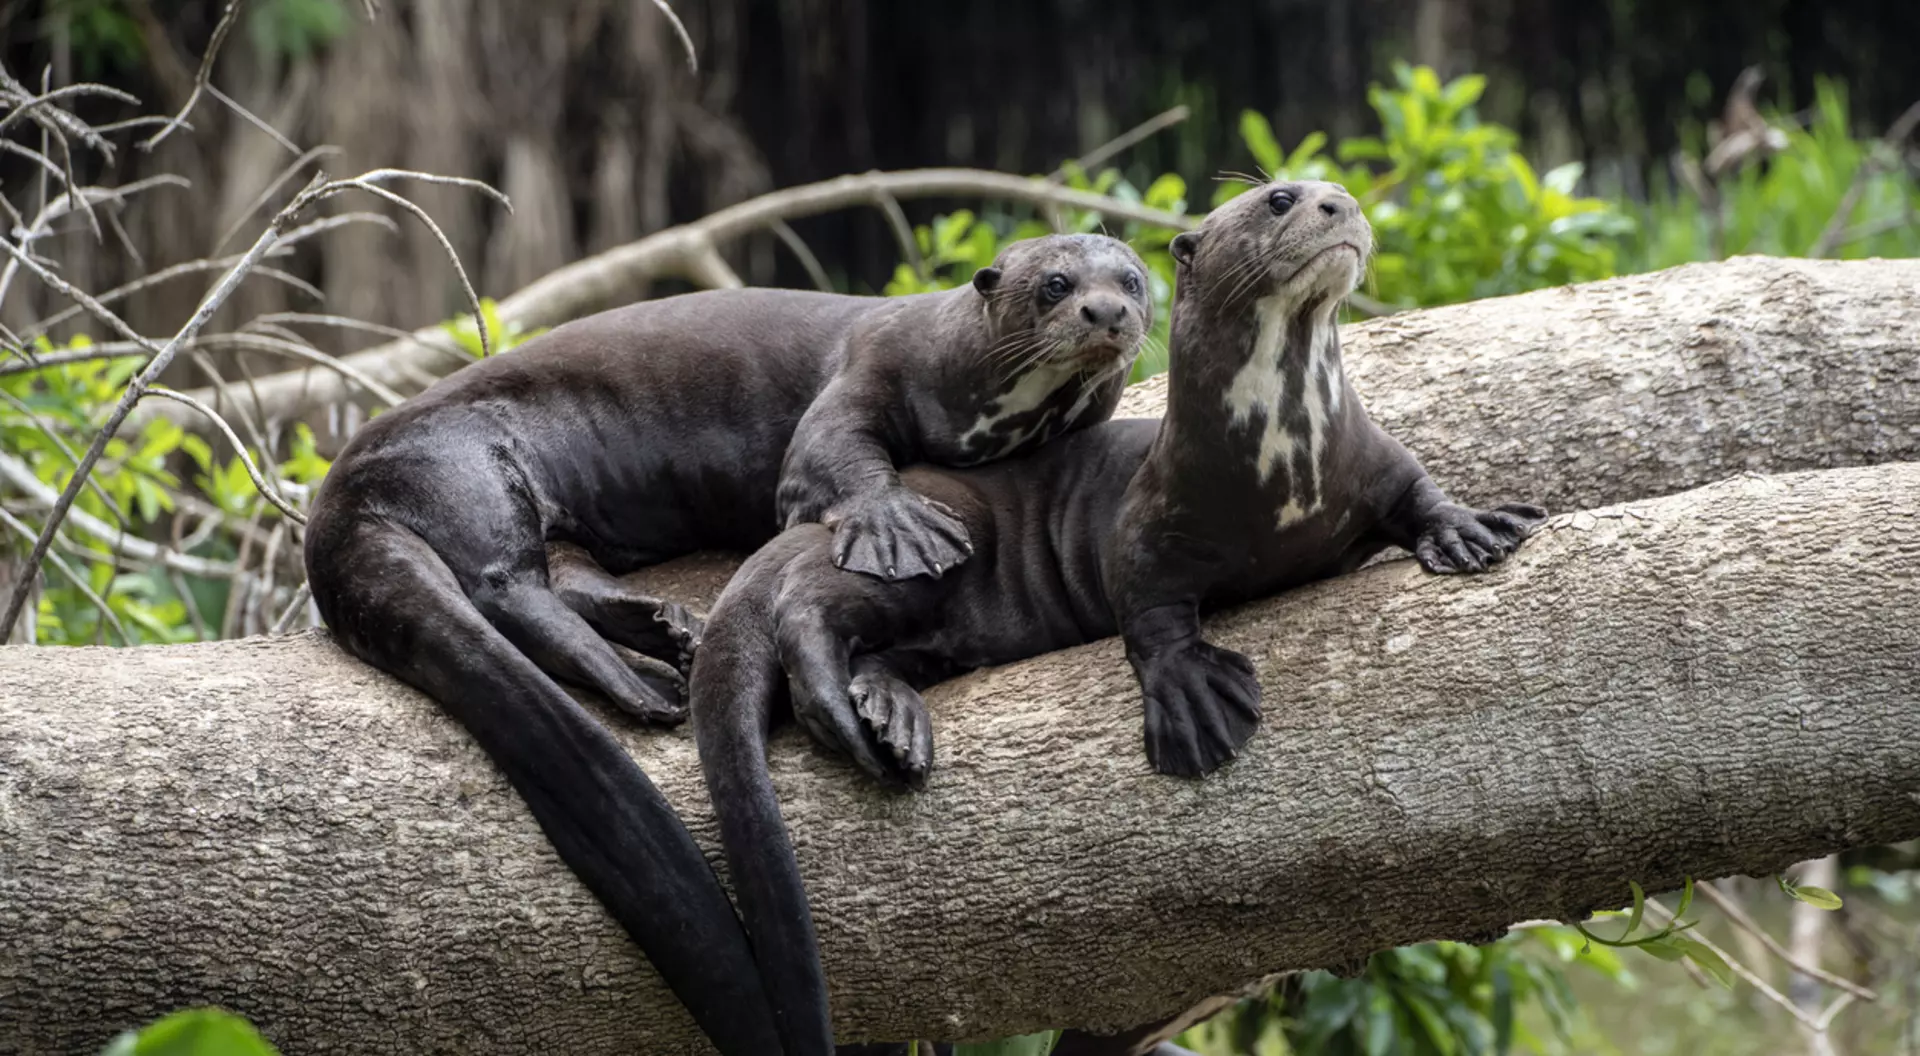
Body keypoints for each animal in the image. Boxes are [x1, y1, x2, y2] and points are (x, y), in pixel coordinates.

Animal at [302, 234, 1152, 1054]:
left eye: (1134, 279)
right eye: (1055, 283)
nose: (1107, 312)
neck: (958, 369)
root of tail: (333, 504)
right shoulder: (870, 366)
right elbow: (829, 454)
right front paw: (899, 526)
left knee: (564, 577)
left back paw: (669, 635)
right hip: (466, 470)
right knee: (502, 586)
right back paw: (645, 684)